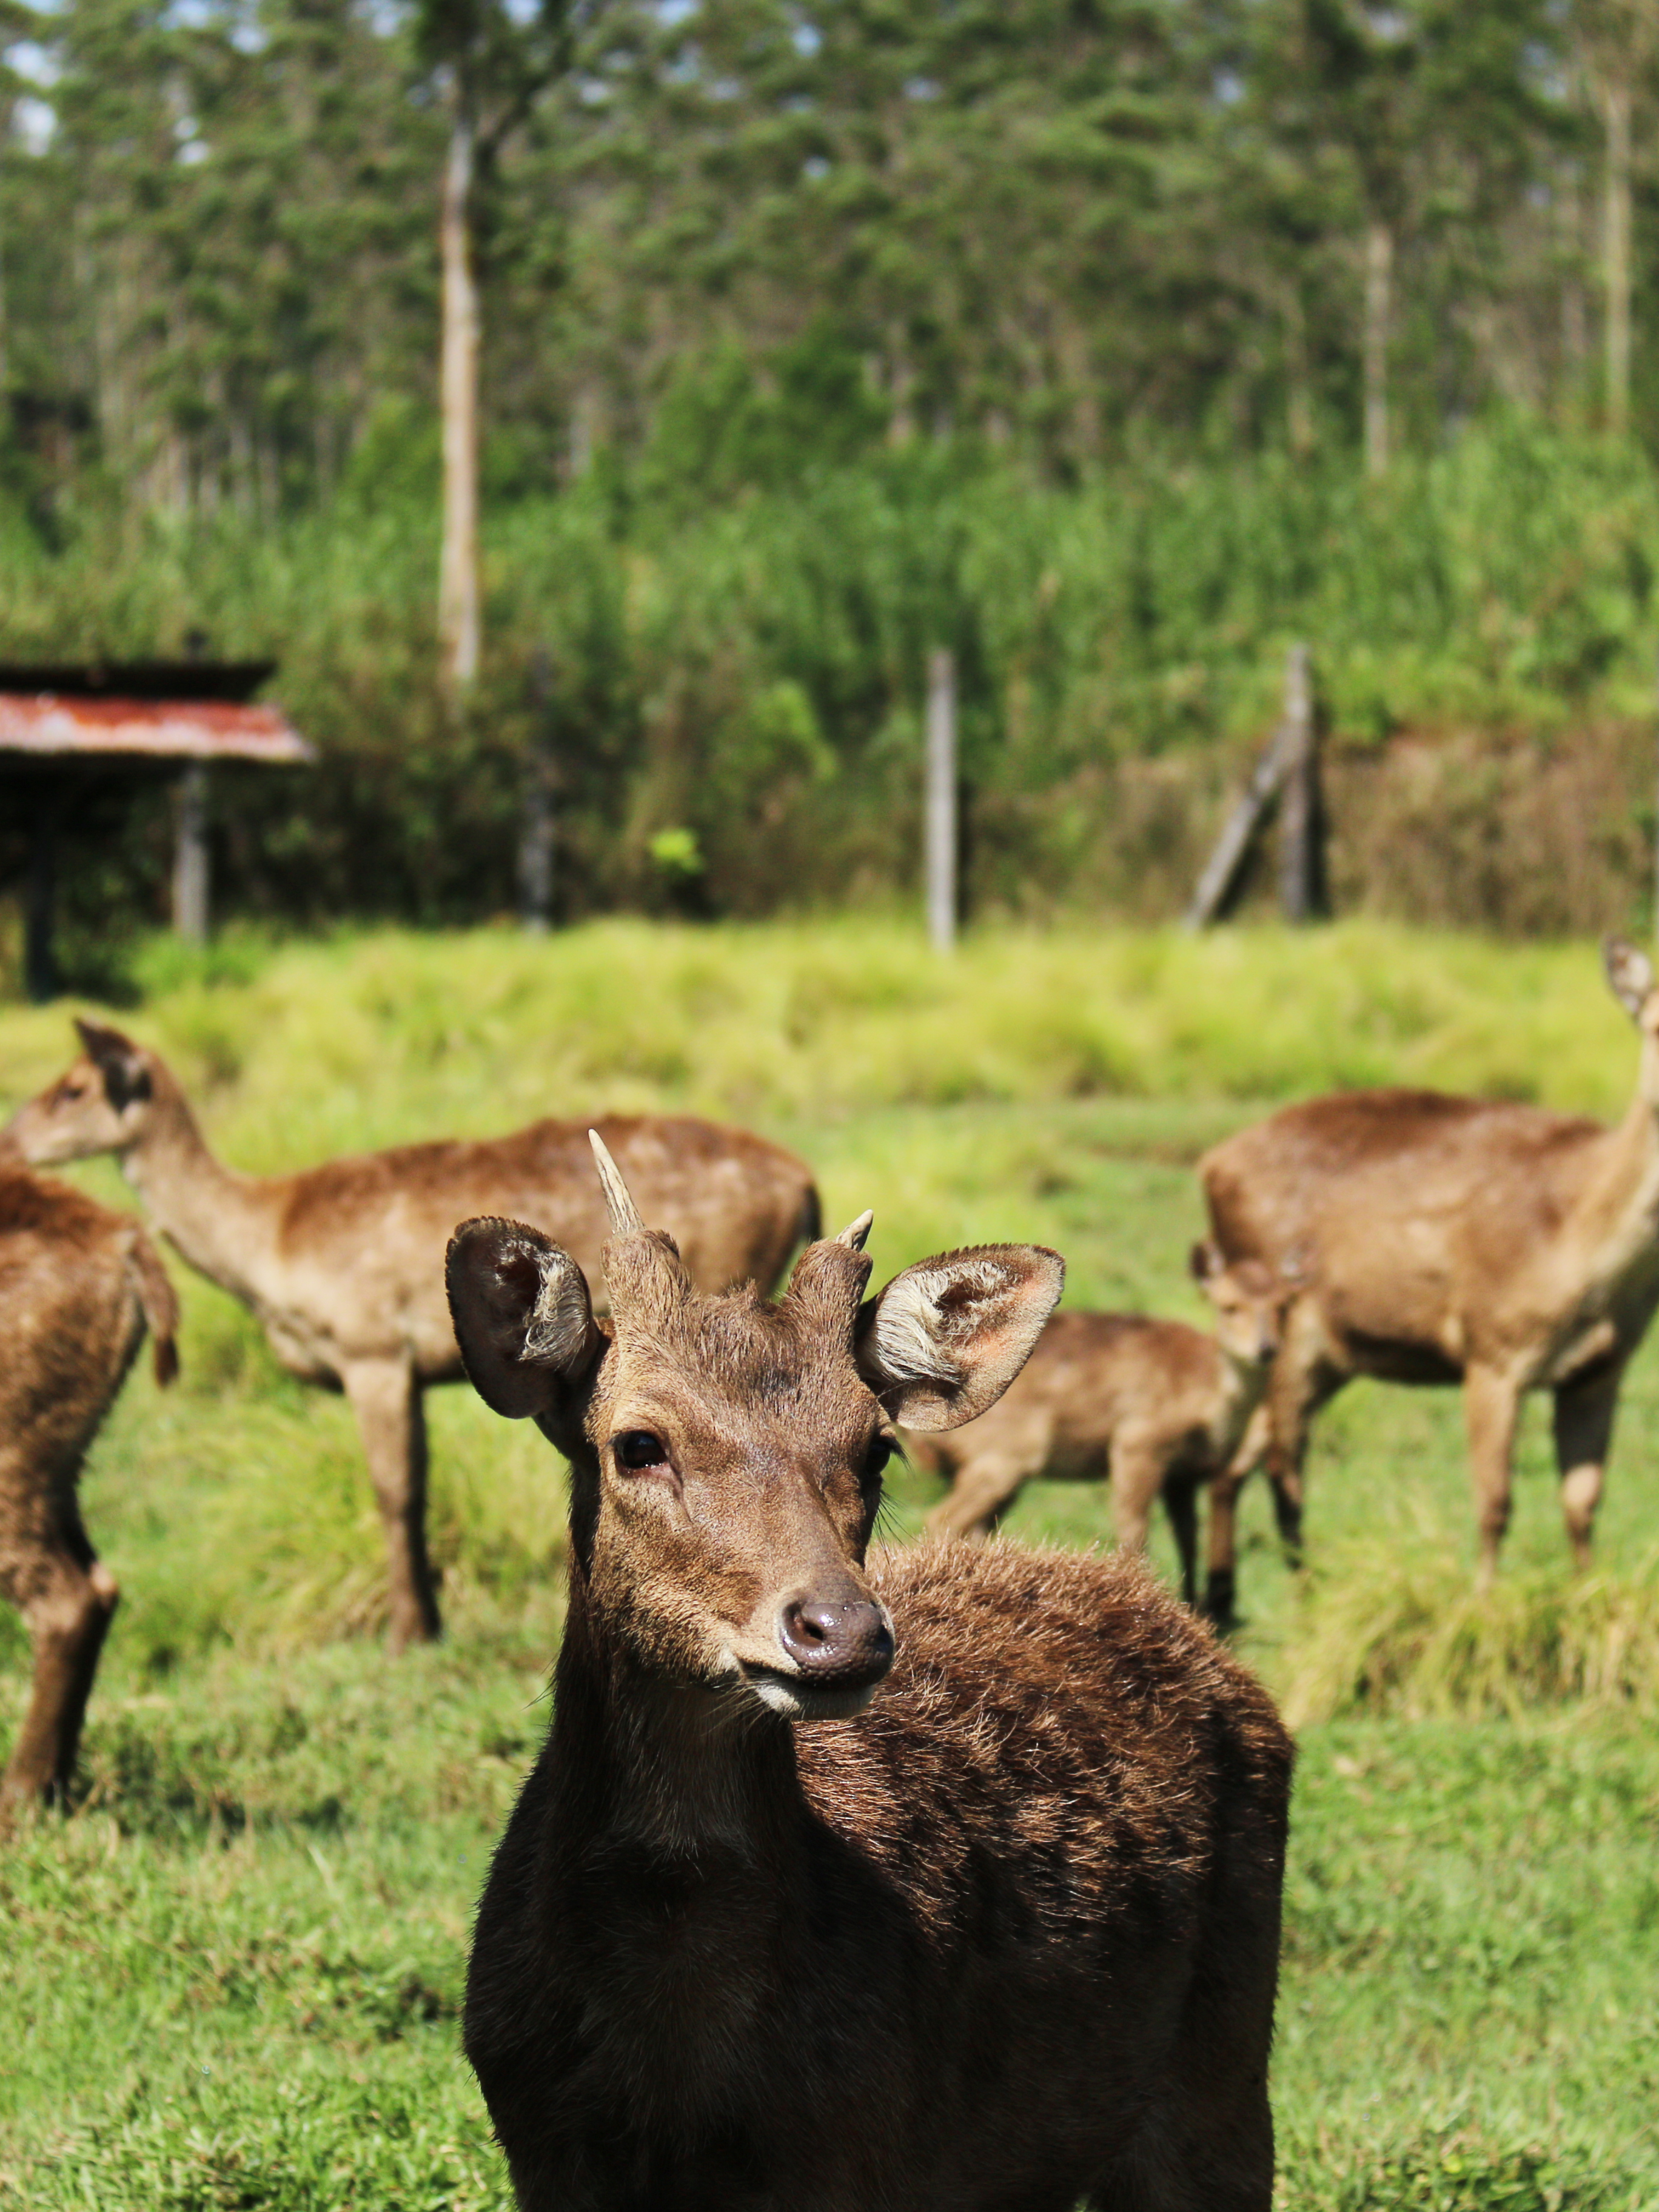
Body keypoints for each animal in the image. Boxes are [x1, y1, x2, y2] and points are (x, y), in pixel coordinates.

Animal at [3, 1017, 823, 1646]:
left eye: (74, 1087)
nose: (12, 1140)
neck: (270, 1245)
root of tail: (805, 1180)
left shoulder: (370, 1344)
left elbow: (393, 1489)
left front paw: (407, 1632)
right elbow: (420, 1484)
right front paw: (426, 1619)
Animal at [924, 1230, 1301, 1610]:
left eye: (1284, 1305)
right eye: (1230, 1307)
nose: (1267, 1348)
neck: (1208, 1391)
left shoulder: (1184, 1473)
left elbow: (1188, 1538)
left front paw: (1192, 1605)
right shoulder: (1139, 1442)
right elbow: (1134, 1530)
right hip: (1004, 1456)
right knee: (942, 1518)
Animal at [1203, 937, 1659, 1627]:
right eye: (1655, 1024)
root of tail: (1210, 1166)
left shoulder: (1604, 1368)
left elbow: (1582, 1503)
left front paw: (1591, 1607)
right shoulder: (1492, 1349)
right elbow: (1494, 1501)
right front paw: (1484, 1611)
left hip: (1323, 1356)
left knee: (1236, 1461)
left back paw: (1223, 1600)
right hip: (1286, 1334)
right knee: (1286, 1470)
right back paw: (1305, 1603)